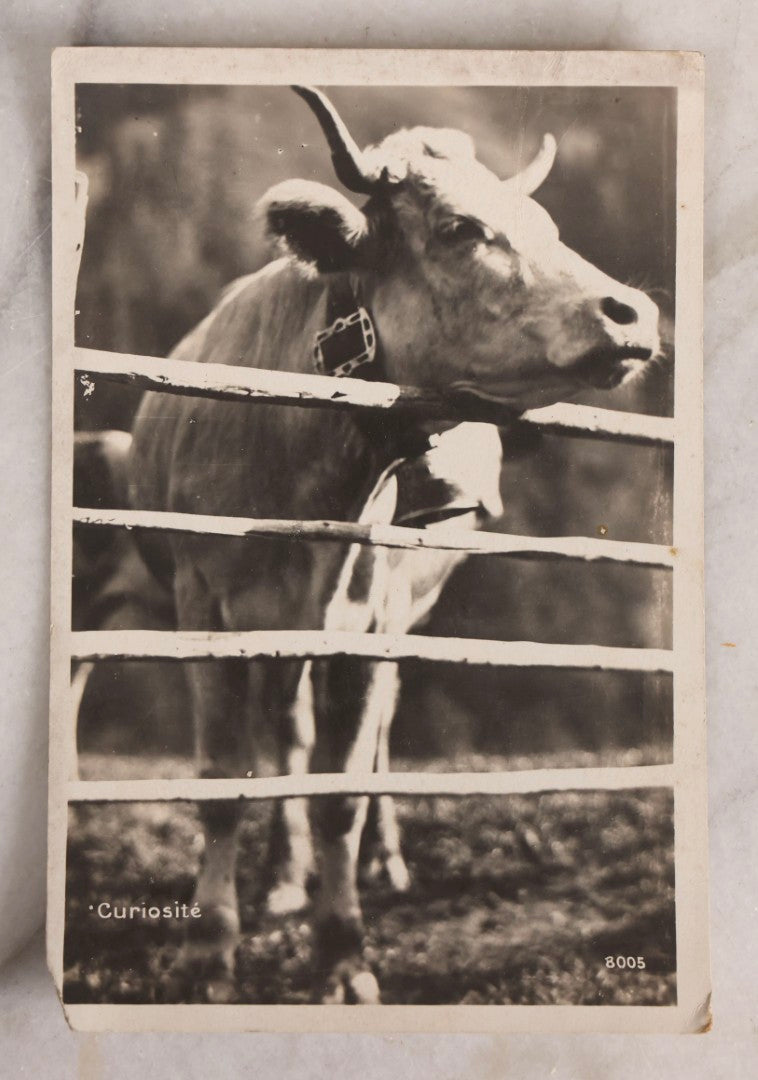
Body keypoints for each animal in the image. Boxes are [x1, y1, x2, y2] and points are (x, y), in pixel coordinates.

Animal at [126, 85, 660, 1004]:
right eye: (458, 228)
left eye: (547, 225)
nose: (633, 311)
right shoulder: (208, 611)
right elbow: (225, 783)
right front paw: (210, 950)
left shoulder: (365, 623)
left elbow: (340, 792)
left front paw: (343, 954)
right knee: (287, 734)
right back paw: (280, 880)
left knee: (368, 742)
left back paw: (381, 863)